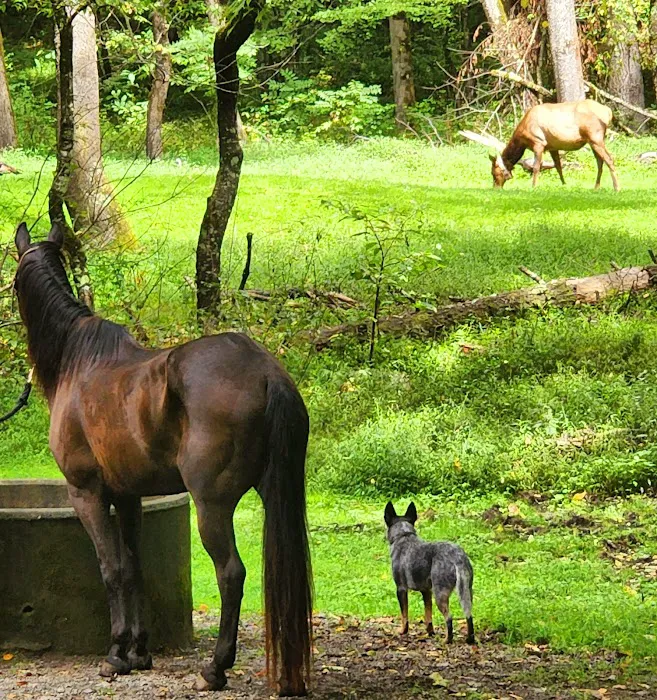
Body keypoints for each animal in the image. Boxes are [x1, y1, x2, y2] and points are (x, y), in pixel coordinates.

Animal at [13, 222, 313, 696]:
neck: (77, 363)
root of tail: (267, 372)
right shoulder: (128, 496)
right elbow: (135, 567)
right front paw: (139, 652)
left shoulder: (87, 493)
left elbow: (112, 569)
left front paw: (116, 654)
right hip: (276, 492)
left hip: (211, 506)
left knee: (231, 574)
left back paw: (215, 668)